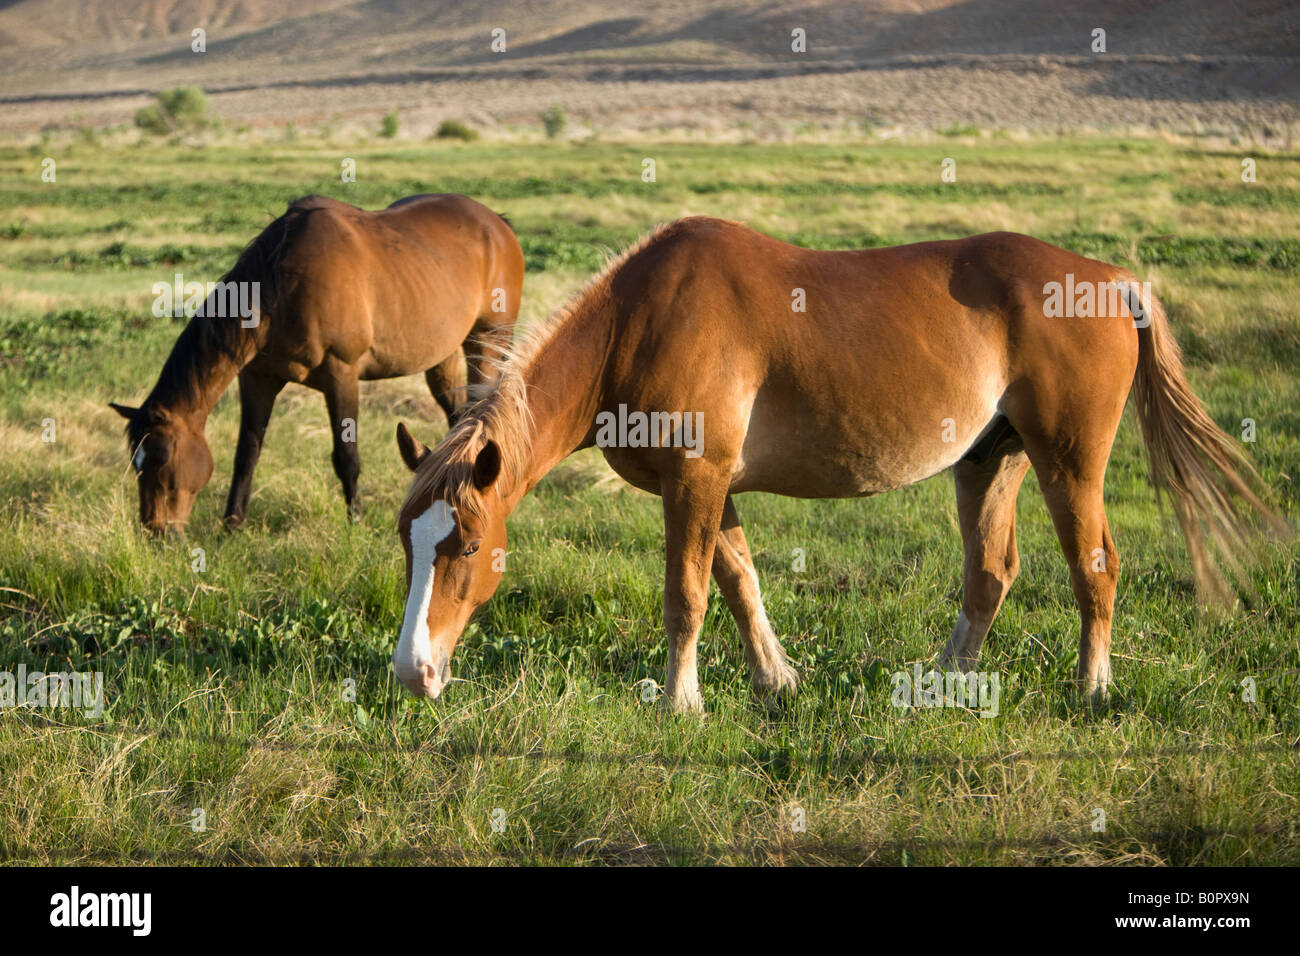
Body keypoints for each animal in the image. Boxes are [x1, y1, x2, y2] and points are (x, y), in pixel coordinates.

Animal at [109, 191, 520, 535]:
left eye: (163, 459)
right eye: (136, 462)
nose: (156, 532)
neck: (281, 284)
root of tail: (498, 225)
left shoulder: (341, 374)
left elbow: (346, 456)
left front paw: (355, 522)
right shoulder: (258, 378)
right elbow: (247, 453)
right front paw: (232, 524)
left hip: (487, 341)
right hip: (443, 355)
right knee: (458, 415)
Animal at [390, 217, 1284, 712]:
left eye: (466, 547)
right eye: (407, 545)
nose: (413, 673)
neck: (638, 322)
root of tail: (1113, 282)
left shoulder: (694, 481)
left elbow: (687, 596)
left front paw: (681, 702)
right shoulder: (715, 488)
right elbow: (741, 583)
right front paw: (776, 681)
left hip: (1069, 466)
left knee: (1095, 569)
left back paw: (1092, 690)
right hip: (990, 461)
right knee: (990, 573)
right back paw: (946, 683)